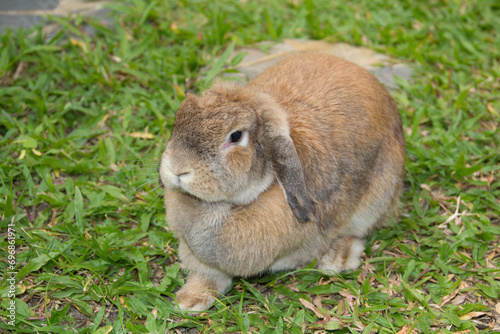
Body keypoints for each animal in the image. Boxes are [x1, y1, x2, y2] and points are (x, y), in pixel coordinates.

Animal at [160, 53, 406, 312]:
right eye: (178, 119)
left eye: (236, 136)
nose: (176, 168)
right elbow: (208, 277)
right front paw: (189, 301)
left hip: (376, 199)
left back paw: (336, 258)